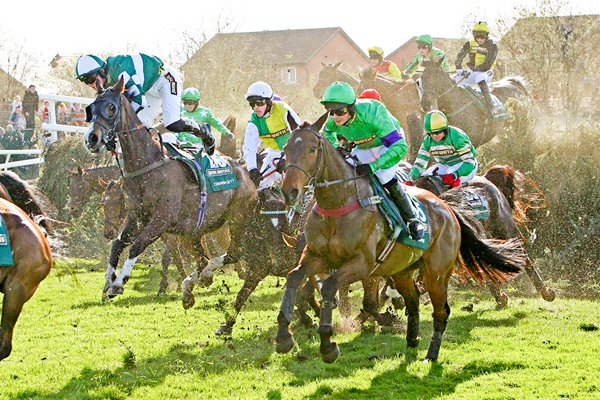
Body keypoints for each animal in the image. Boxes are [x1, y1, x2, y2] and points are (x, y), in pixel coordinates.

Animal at [83, 76, 256, 300]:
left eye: (111, 107)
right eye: (91, 108)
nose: (92, 138)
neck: (147, 164)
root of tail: (246, 173)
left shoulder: (162, 219)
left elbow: (138, 245)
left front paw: (119, 282)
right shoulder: (137, 215)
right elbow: (118, 244)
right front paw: (108, 281)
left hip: (236, 218)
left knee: (233, 251)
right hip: (193, 231)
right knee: (204, 258)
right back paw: (194, 282)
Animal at [274, 114, 528, 364]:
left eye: (312, 149)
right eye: (286, 148)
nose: (289, 192)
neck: (338, 204)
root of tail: (448, 209)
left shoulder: (362, 264)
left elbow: (331, 288)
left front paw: (328, 345)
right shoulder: (316, 256)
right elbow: (294, 278)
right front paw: (284, 336)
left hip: (437, 273)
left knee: (441, 311)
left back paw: (431, 353)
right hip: (402, 271)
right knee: (413, 301)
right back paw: (411, 340)